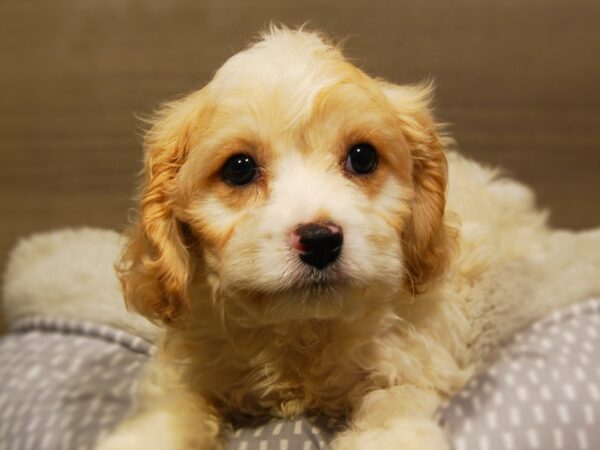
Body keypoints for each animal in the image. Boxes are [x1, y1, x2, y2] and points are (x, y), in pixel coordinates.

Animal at [101, 27, 600, 450]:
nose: (320, 239)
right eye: (239, 169)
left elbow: (396, 402)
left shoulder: (414, 358)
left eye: (362, 157)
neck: (301, 332)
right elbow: (174, 408)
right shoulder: (188, 368)